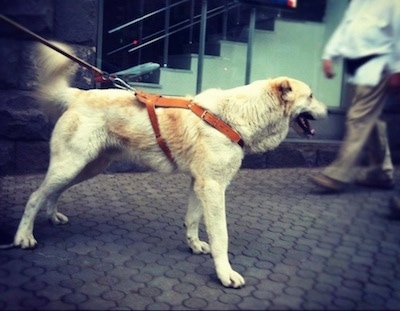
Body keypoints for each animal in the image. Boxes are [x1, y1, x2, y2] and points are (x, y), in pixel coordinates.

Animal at [15, 42, 328, 288]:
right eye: (312, 96)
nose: (328, 110)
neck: (237, 115)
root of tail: (80, 94)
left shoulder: (200, 184)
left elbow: (192, 219)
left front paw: (194, 245)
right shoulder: (214, 187)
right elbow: (221, 236)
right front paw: (225, 274)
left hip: (88, 167)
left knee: (53, 193)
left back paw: (53, 217)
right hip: (71, 165)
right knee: (35, 196)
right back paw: (24, 237)